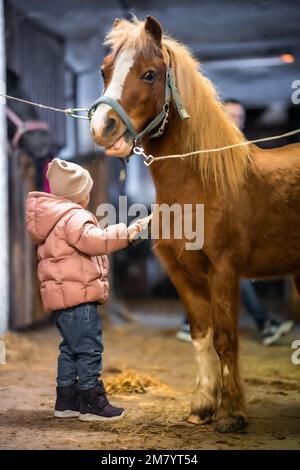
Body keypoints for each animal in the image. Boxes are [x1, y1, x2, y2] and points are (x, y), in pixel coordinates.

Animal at [89, 15, 300, 434]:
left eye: (150, 74)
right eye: (105, 71)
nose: (102, 127)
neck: (203, 183)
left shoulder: (224, 271)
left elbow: (225, 339)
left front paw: (231, 414)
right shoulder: (180, 272)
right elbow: (202, 337)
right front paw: (202, 407)